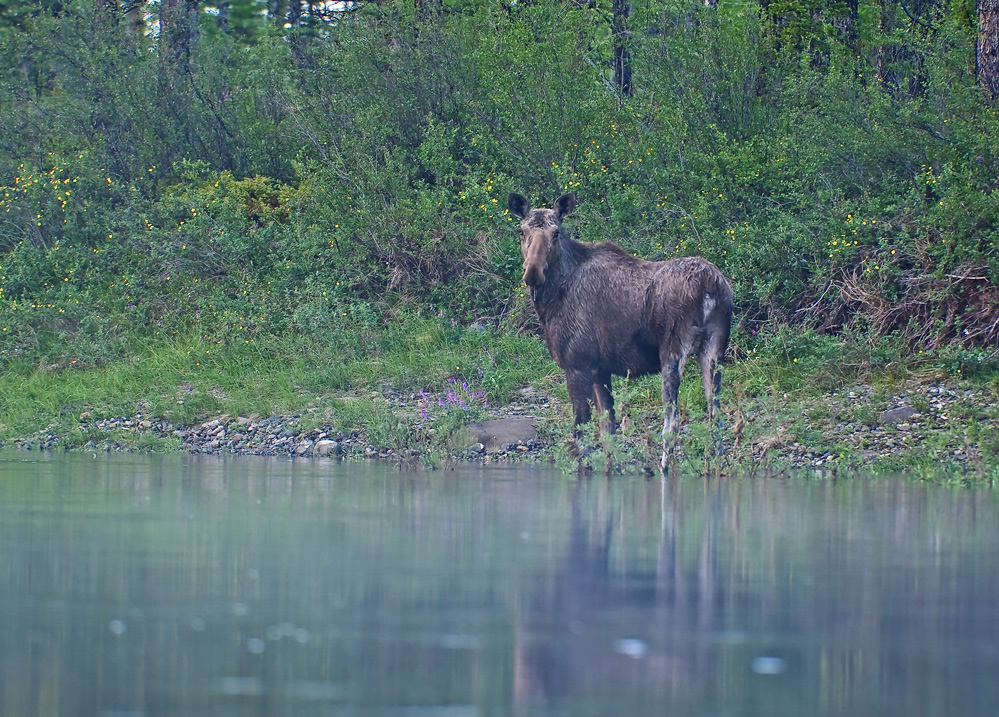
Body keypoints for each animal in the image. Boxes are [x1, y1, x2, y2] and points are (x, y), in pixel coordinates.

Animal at [508, 193, 736, 472]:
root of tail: (710, 286)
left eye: (556, 233)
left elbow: (581, 434)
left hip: (672, 351)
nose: (533, 272)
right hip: (714, 350)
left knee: (671, 422)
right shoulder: (600, 369)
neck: (553, 299)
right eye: (522, 231)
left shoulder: (577, 364)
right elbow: (608, 432)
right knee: (716, 416)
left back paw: (665, 468)